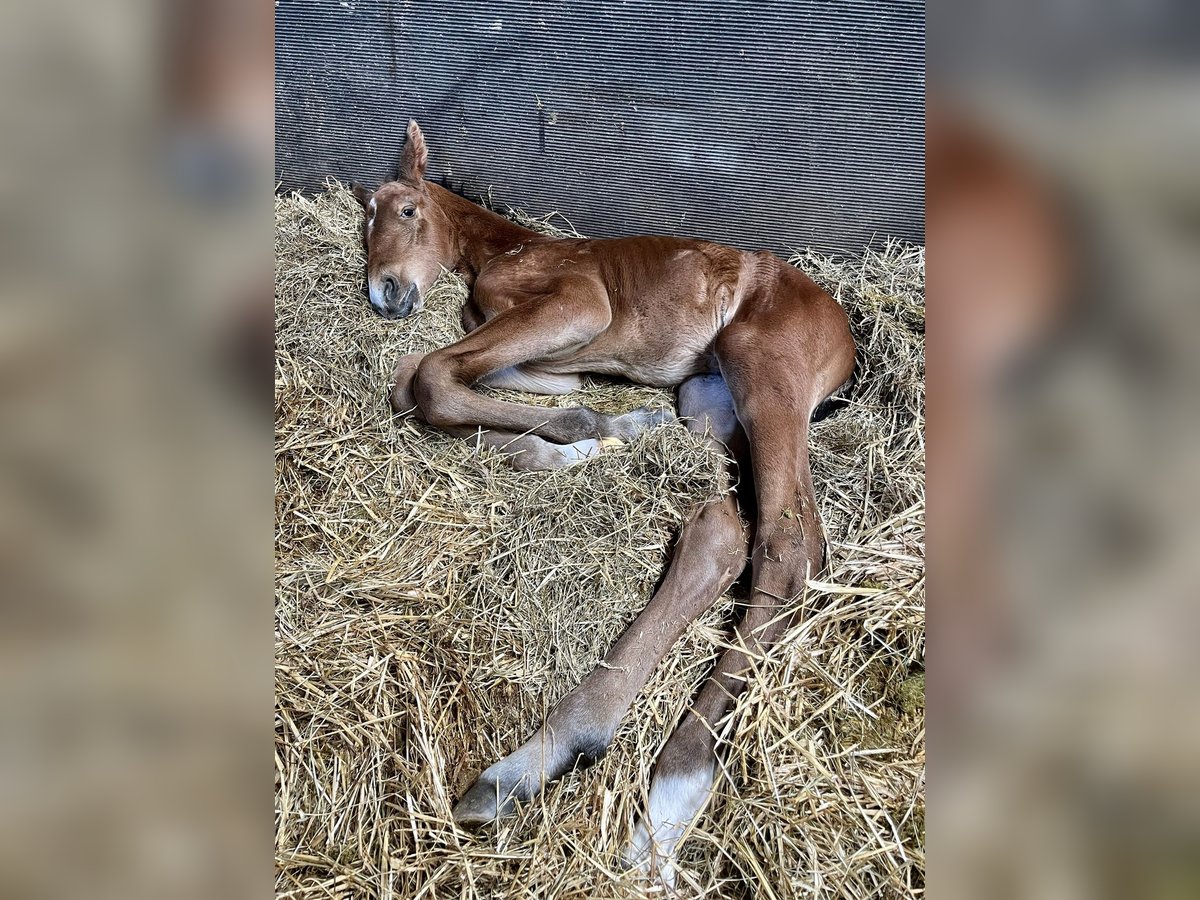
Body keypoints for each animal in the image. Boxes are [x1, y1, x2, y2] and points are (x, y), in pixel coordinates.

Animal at [350, 121, 859, 888]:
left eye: (406, 209)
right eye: (366, 222)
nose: (385, 293)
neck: (509, 249)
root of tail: (847, 334)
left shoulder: (580, 304)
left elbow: (430, 377)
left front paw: (584, 435)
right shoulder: (540, 355)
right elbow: (428, 382)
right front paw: (601, 436)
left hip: (766, 367)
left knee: (787, 544)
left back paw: (641, 780)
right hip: (708, 398)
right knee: (727, 527)